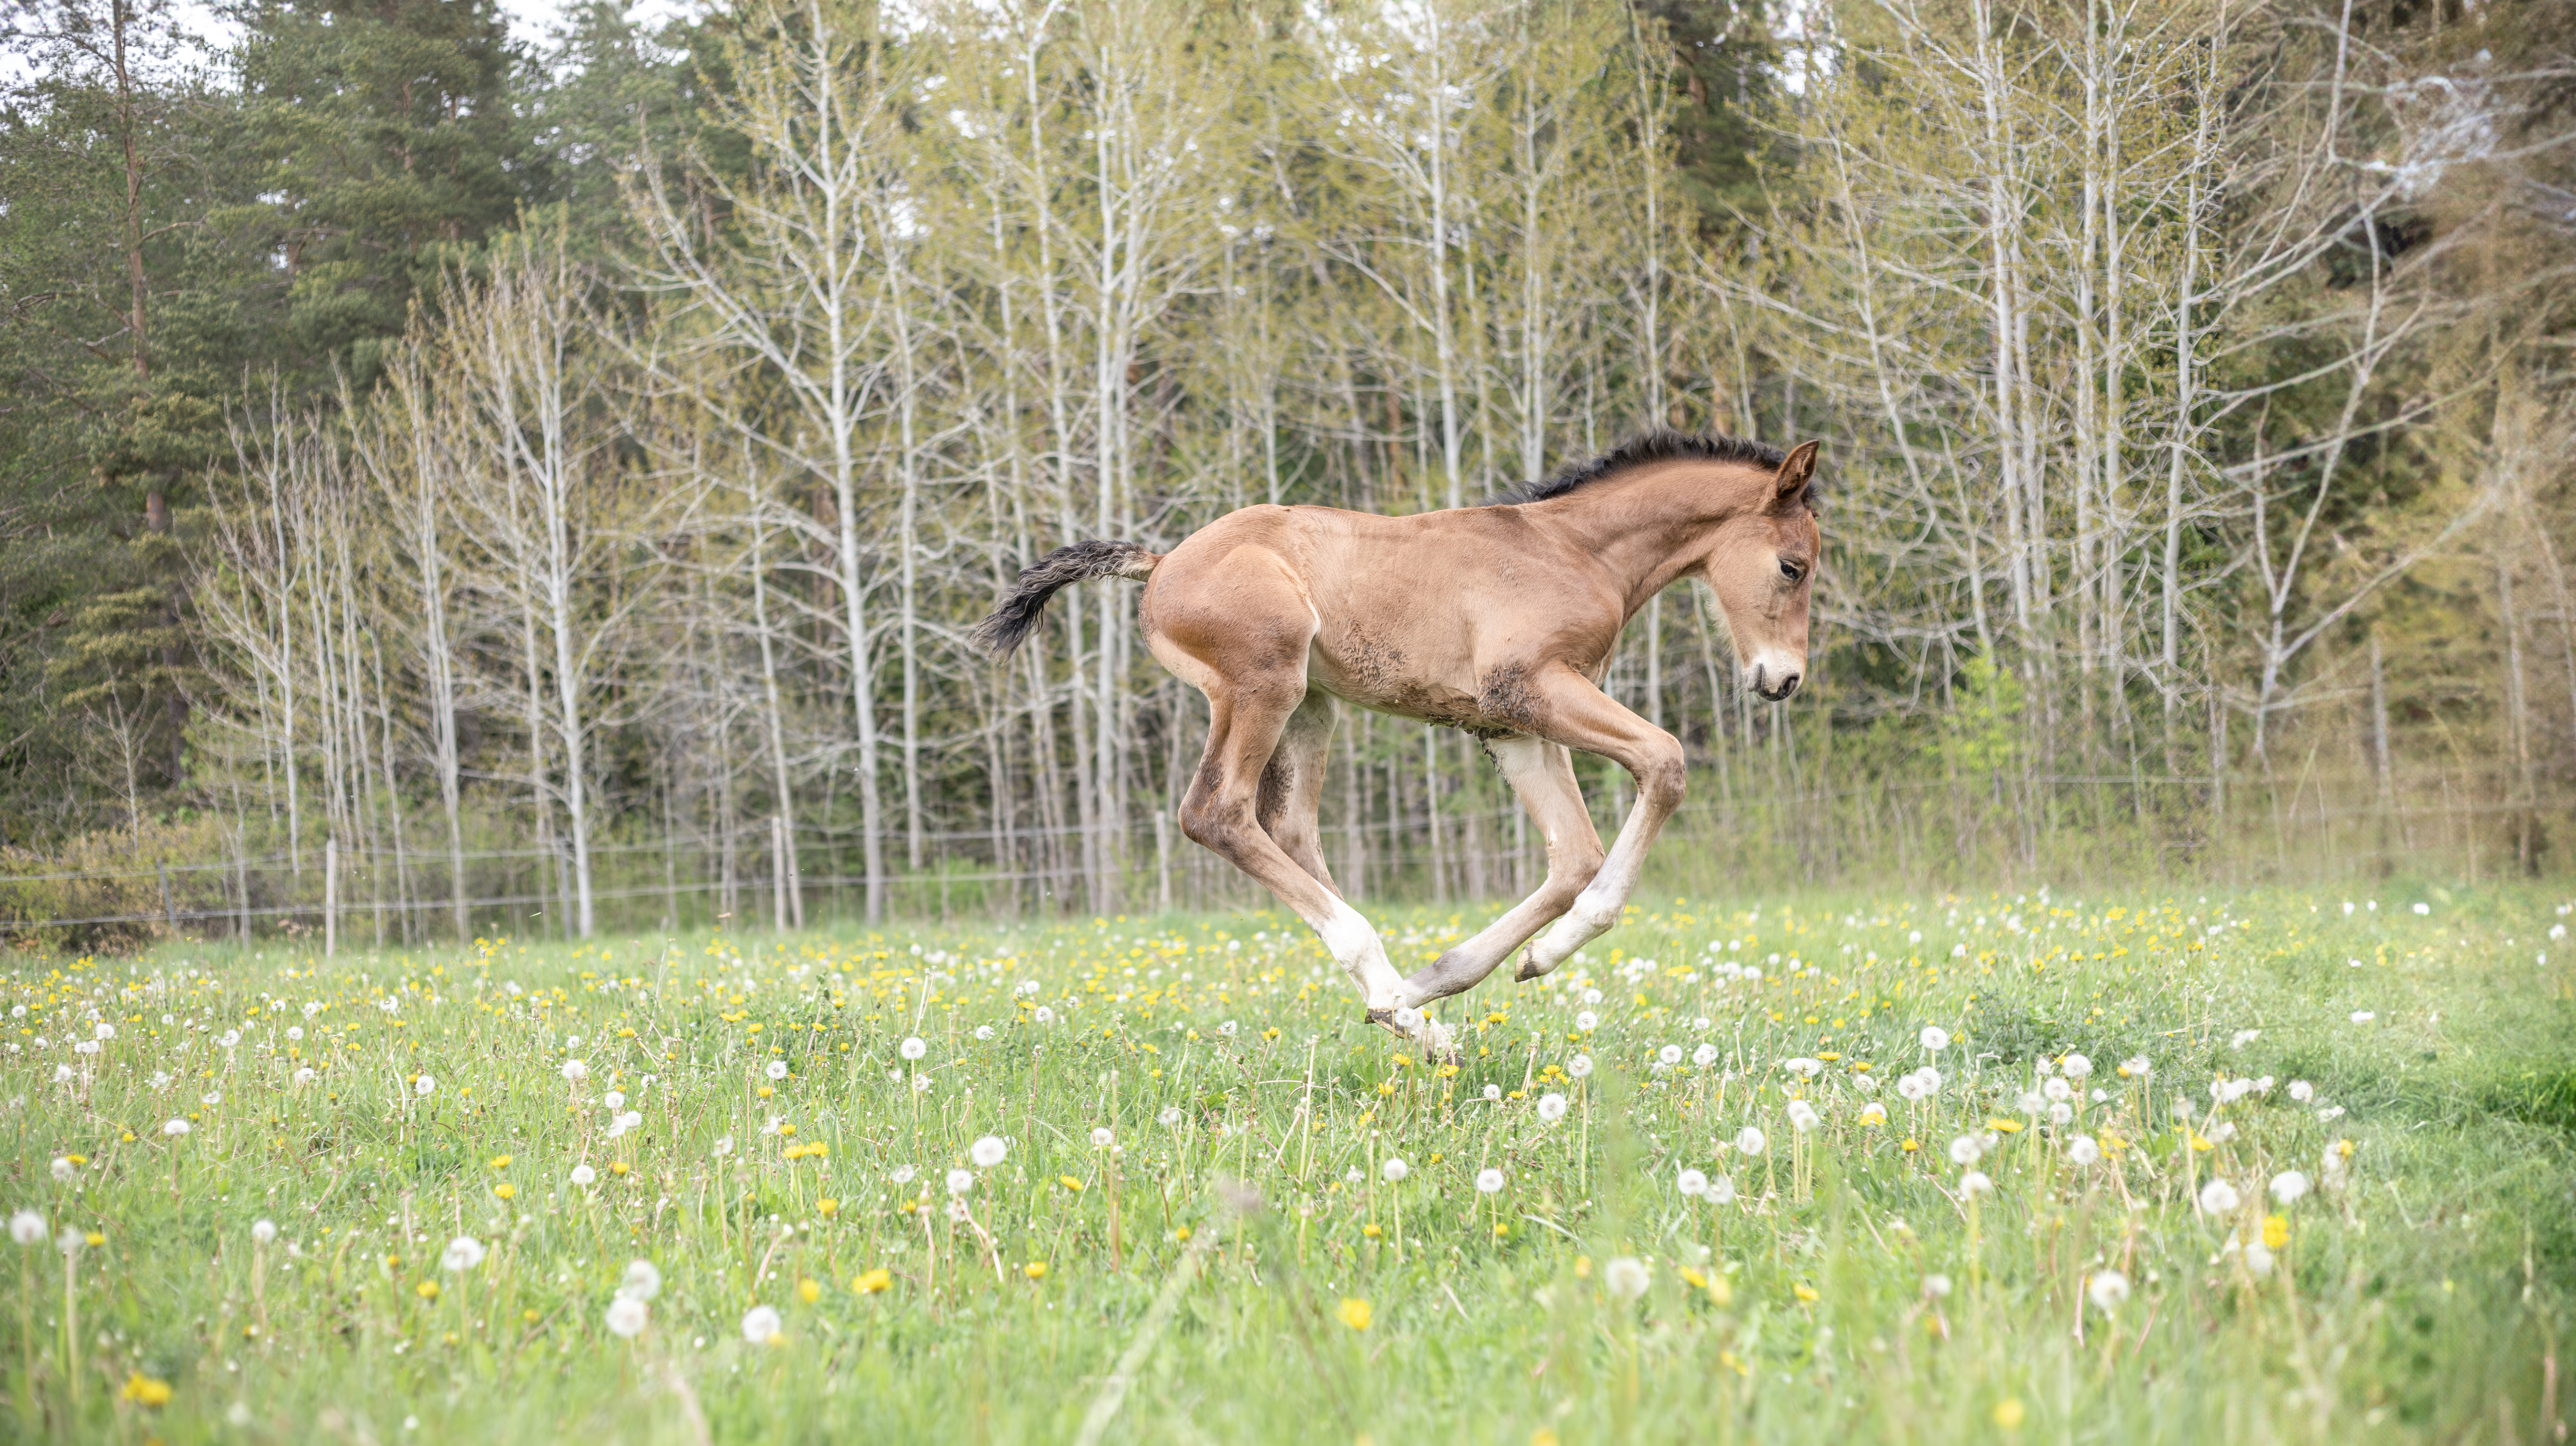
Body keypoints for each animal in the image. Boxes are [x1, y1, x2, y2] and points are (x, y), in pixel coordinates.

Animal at [971, 430, 1822, 1061]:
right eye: (1792, 566)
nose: (1782, 680)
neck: (1576, 551)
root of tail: (1162, 565)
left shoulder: (1511, 727)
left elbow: (1574, 857)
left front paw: (1479, 971)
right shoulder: (1529, 688)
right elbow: (1663, 762)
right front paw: (1524, 960)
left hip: (1311, 706)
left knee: (1289, 830)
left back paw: (1409, 1015)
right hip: (1263, 683)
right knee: (1215, 813)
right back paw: (1390, 995)